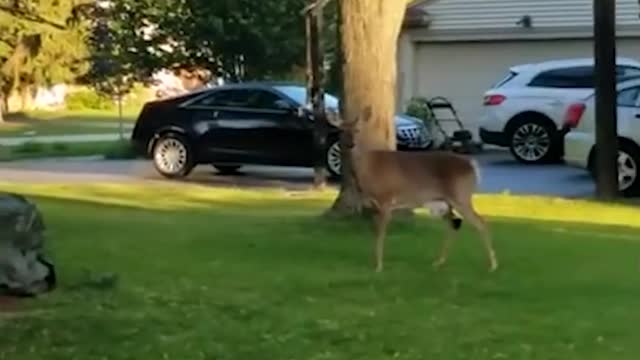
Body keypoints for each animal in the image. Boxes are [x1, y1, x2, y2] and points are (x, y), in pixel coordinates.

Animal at [328, 106, 498, 272]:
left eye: (357, 130)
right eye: (341, 130)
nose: (351, 144)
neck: (368, 168)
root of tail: (472, 165)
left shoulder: (386, 199)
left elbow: (380, 234)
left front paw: (379, 267)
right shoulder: (375, 205)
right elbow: (375, 233)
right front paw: (375, 263)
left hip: (461, 196)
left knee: (481, 223)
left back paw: (492, 265)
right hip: (446, 202)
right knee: (454, 224)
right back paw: (439, 262)